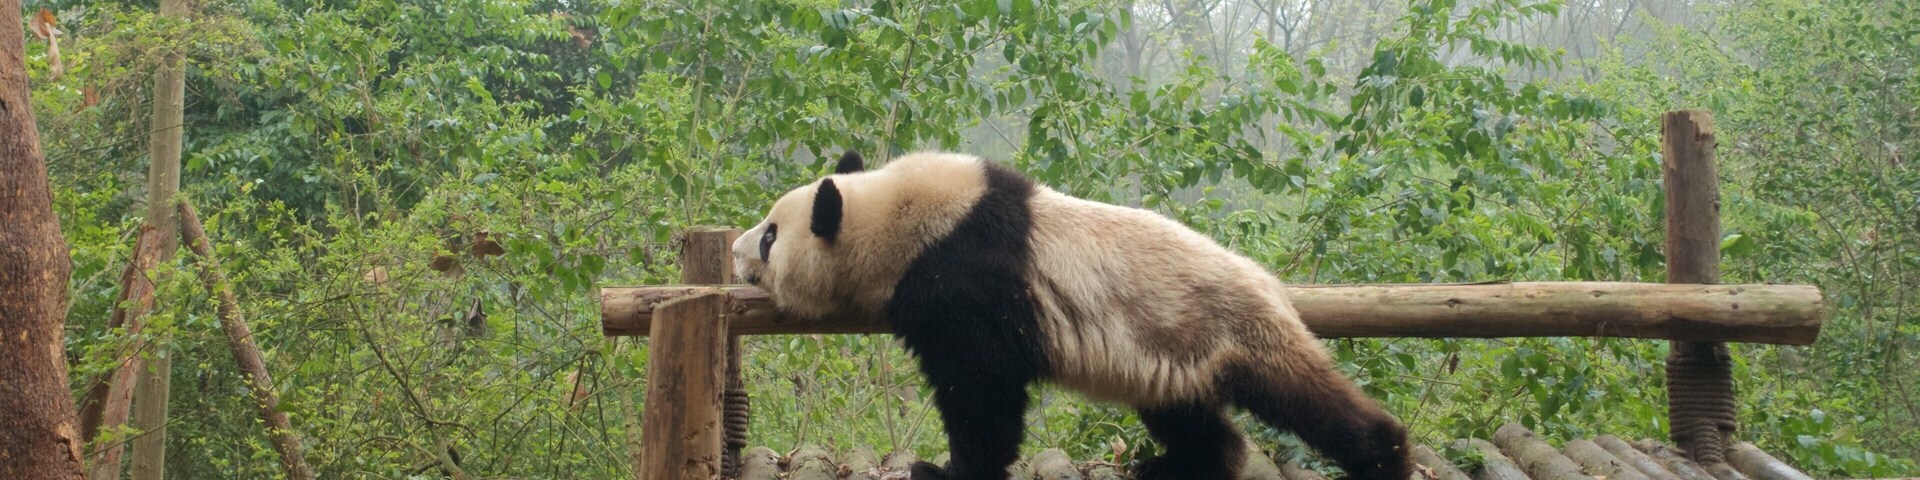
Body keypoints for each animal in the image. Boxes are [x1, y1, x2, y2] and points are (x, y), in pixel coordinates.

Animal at [732, 151, 1410, 480]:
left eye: (769, 236)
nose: (736, 253)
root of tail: (1272, 284)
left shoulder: (968, 281)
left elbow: (982, 390)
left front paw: (944, 469)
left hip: (1229, 327)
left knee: (1305, 397)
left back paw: (1384, 458)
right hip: (1169, 355)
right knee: (1189, 416)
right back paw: (1175, 466)